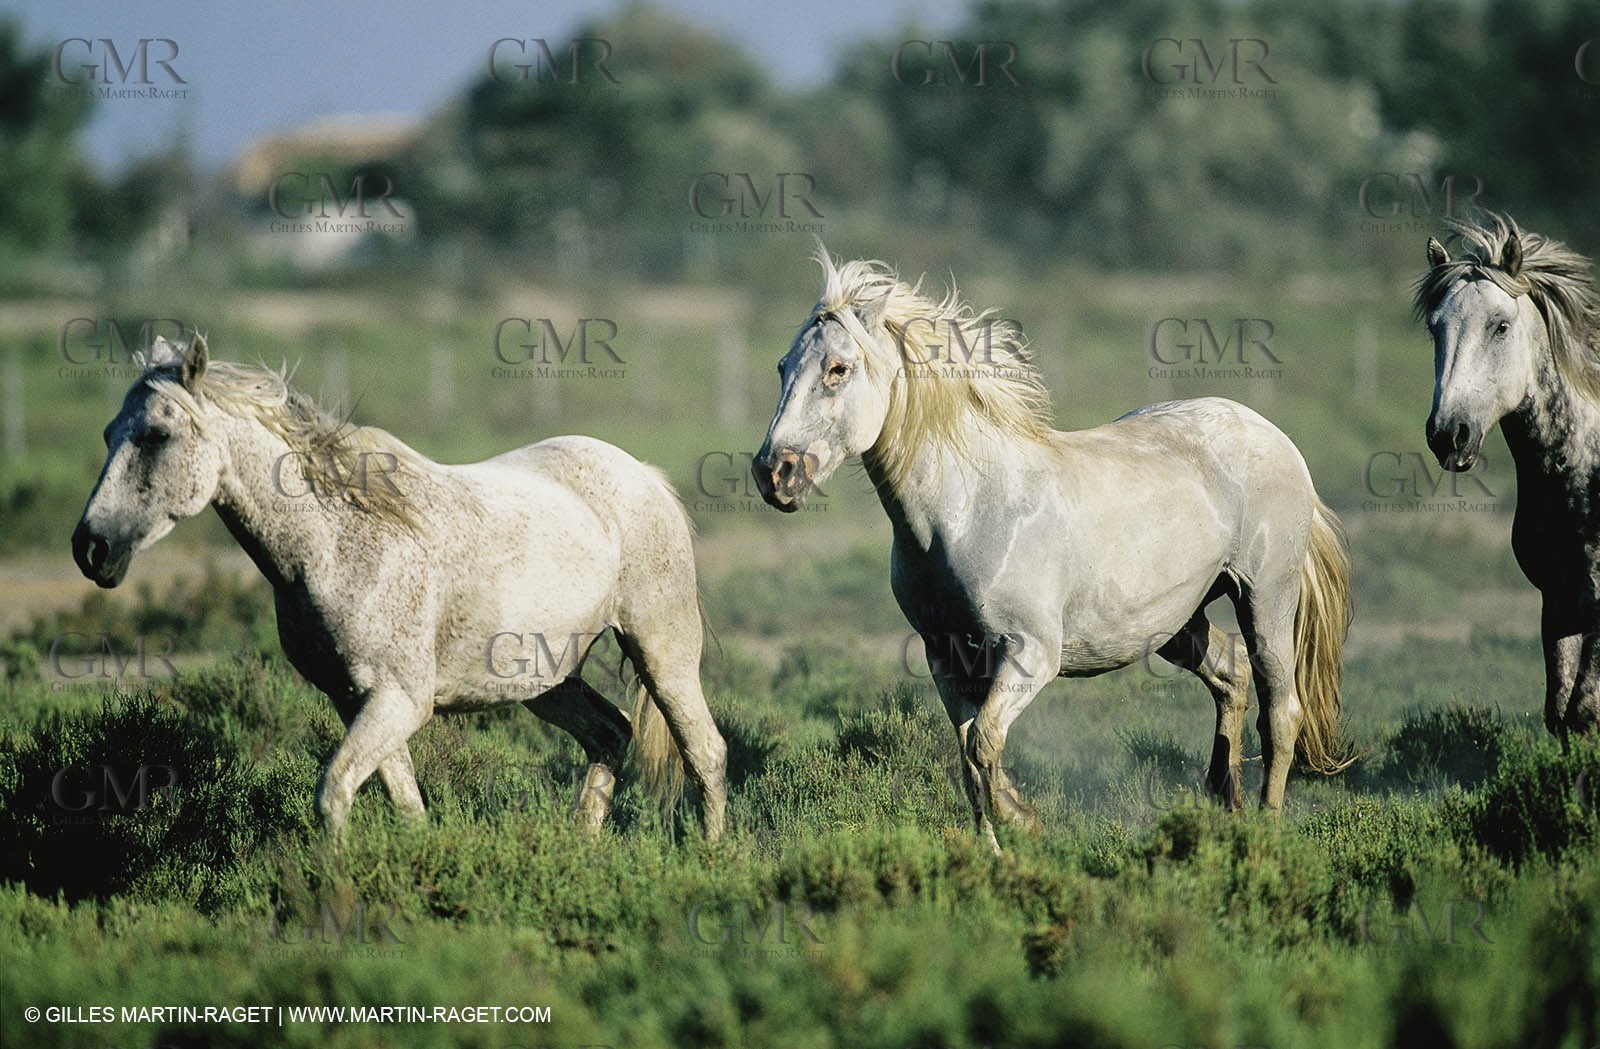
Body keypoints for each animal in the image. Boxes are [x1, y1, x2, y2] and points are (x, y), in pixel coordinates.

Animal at [72, 334, 726, 843]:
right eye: (106, 433)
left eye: (156, 435)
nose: (91, 548)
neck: (333, 542)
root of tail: (644, 474)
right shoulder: (356, 700)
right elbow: (407, 807)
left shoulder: (398, 700)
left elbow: (333, 794)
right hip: (547, 679)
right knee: (610, 734)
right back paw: (581, 850)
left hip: (662, 653)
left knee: (706, 753)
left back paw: (712, 859)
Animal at [752, 247, 1351, 850]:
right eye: (781, 367)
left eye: (838, 369)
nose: (773, 473)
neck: (970, 510)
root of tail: (1273, 435)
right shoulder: (946, 656)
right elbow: (968, 756)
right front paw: (993, 851)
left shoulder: (1031, 652)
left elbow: (983, 742)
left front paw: (1023, 821)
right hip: (1178, 623)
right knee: (1231, 676)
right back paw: (1219, 806)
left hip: (1265, 598)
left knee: (1282, 710)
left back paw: (1264, 830)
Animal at [1417, 212, 1600, 738]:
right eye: (1436, 328)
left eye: (1500, 325)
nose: (1449, 434)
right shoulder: (1558, 603)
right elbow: (1560, 714)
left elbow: (1584, 712)